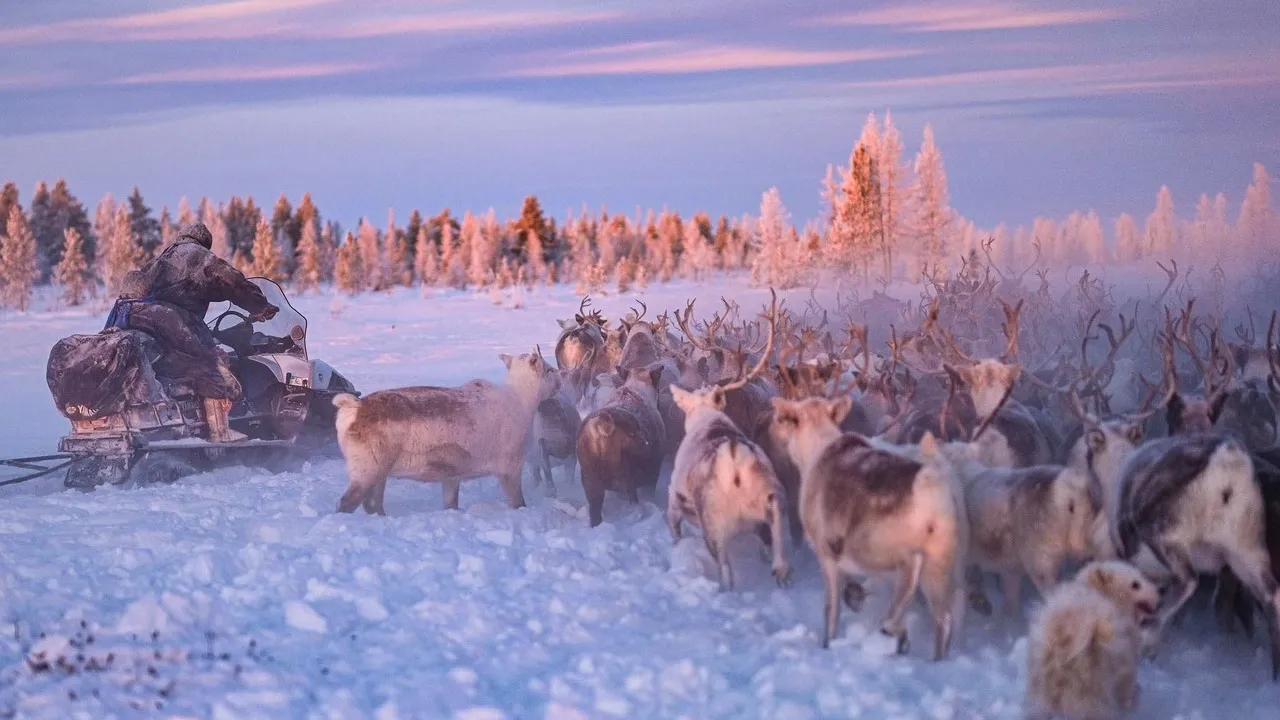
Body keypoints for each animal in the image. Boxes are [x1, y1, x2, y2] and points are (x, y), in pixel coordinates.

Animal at [330, 351, 555, 512]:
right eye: (549, 370)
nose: (560, 377)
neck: (524, 399)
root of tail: (353, 405)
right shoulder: (510, 467)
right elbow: (518, 502)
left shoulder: (451, 477)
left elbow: (451, 503)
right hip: (368, 469)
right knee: (347, 503)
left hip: (379, 473)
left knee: (372, 504)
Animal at [670, 384, 788, 586]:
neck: (707, 414)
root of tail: (734, 457)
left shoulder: (674, 499)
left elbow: (675, 527)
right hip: (770, 494)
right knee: (775, 530)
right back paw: (780, 568)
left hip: (712, 527)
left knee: (724, 567)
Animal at [762, 394, 962, 661]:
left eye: (784, 419)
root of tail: (931, 488)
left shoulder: (827, 553)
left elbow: (831, 609)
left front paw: (828, 642)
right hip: (940, 564)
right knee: (944, 620)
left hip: (886, 549)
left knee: (909, 576)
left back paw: (899, 635)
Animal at [1018, 561, 1162, 717]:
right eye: (1135, 584)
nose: (1160, 595)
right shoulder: (1124, 660)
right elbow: (1126, 686)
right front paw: (1132, 701)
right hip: (1091, 684)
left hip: (1041, 681)